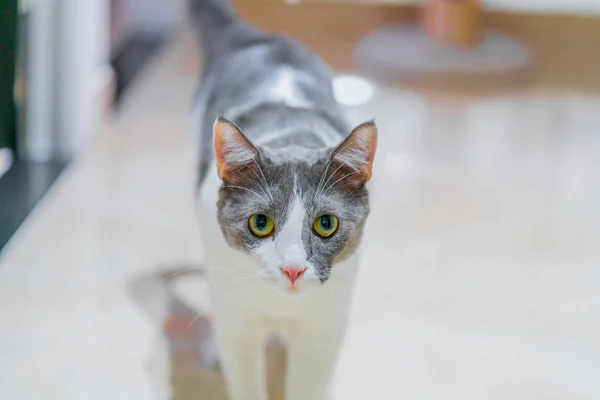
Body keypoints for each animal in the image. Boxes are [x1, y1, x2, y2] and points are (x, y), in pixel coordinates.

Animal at [190, 1, 378, 398]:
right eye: (260, 223)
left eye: (326, 224)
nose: (293, 269)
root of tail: (258, 37)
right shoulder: (239, 326)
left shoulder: (323, 331)